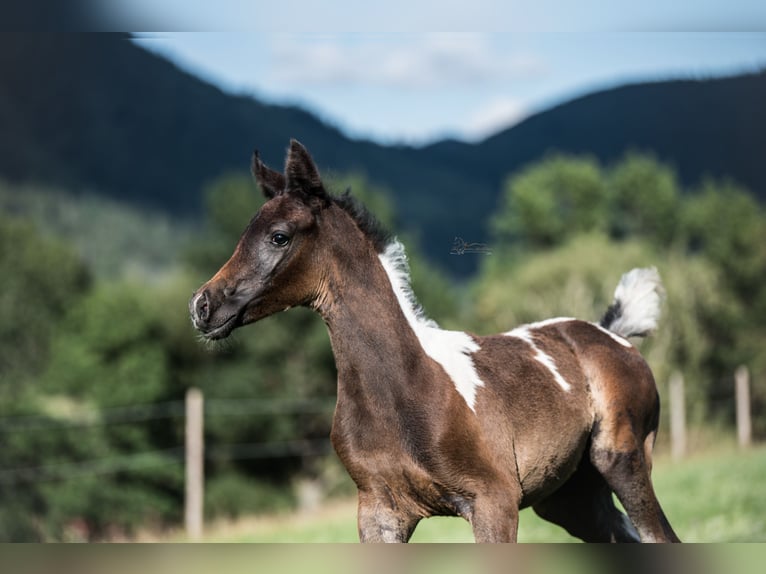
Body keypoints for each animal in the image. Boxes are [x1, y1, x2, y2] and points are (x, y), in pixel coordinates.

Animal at [189, 140, 680, 544]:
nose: (201, 305)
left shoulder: (495, 503)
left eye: (279, 237)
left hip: (623, 459)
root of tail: (612, 334)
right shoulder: (380, 512)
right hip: (569, 497)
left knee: (660, 536)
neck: (404, 387)